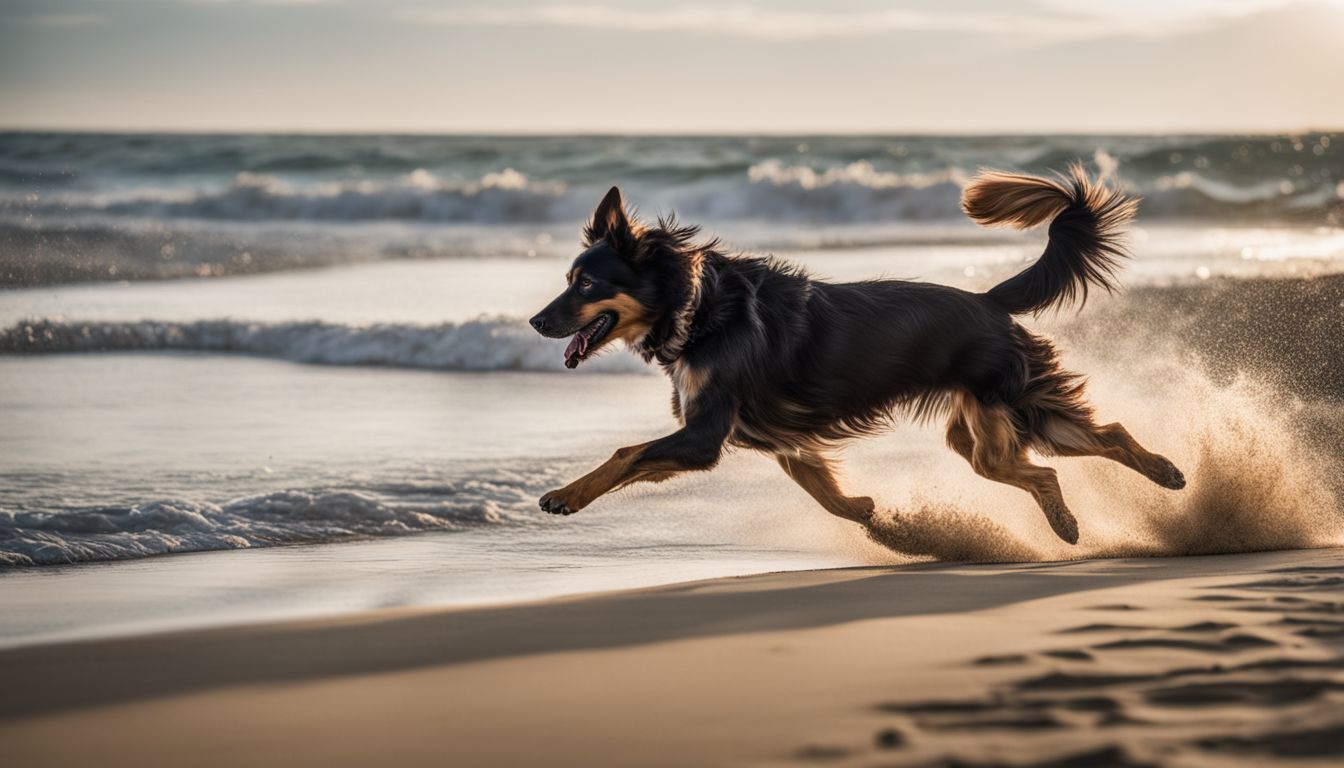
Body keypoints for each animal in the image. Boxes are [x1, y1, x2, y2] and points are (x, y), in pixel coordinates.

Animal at [526, 168, 1188, 543]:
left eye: (586, 285)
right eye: (568, 280)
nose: (536, 321)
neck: (695, 307)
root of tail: (986, 300)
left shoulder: (706, 434)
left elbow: (626, 452)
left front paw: (566, 496)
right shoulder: (781, 444)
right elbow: (828, 497)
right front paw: (879, 518)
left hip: (1014, 405)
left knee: (1091, 443)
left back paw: (1149, 482)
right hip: (979, 435)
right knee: (1041, 464)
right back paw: (1090, 510)